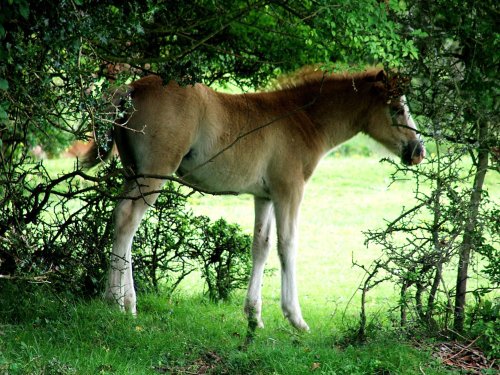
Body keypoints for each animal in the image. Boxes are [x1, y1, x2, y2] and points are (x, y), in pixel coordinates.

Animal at [84, 67, 424, 332]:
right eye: (397, 108)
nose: (418, 151)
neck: (303, 118)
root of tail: (133, 87)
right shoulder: (290, 189)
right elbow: (288, 246)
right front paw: (295, 318)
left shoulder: (265, 196)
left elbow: (261, 246)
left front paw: (254, 316)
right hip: (154, 172)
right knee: (127, 219)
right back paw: (117, 302)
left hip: (133, 171)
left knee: (122, 218)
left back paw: (126, 302)